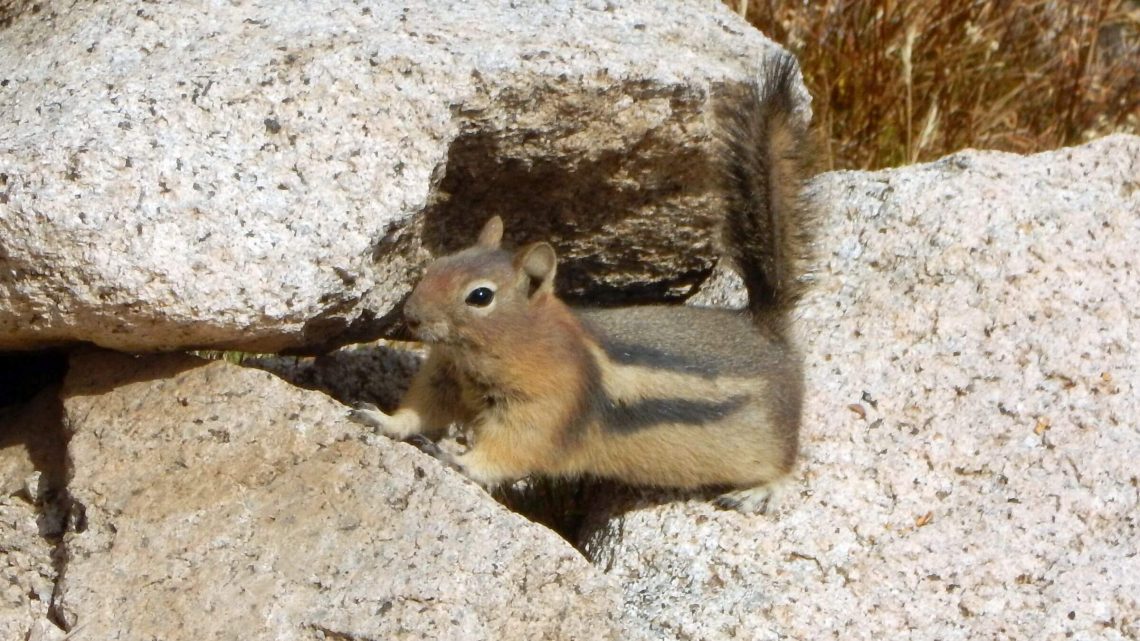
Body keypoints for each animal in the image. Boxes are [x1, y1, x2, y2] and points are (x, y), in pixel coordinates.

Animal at [351, 56, 816, 513]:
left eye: (480, 296)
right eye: (437, 265)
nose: (411, 316)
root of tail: (764, 326)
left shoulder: (542, 409)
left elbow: (509, 451)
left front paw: (460, 459)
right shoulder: (445, 379)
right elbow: (421, 409)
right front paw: (384, 419)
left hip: (768, 444)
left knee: (786, 466)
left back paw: (759, 491)